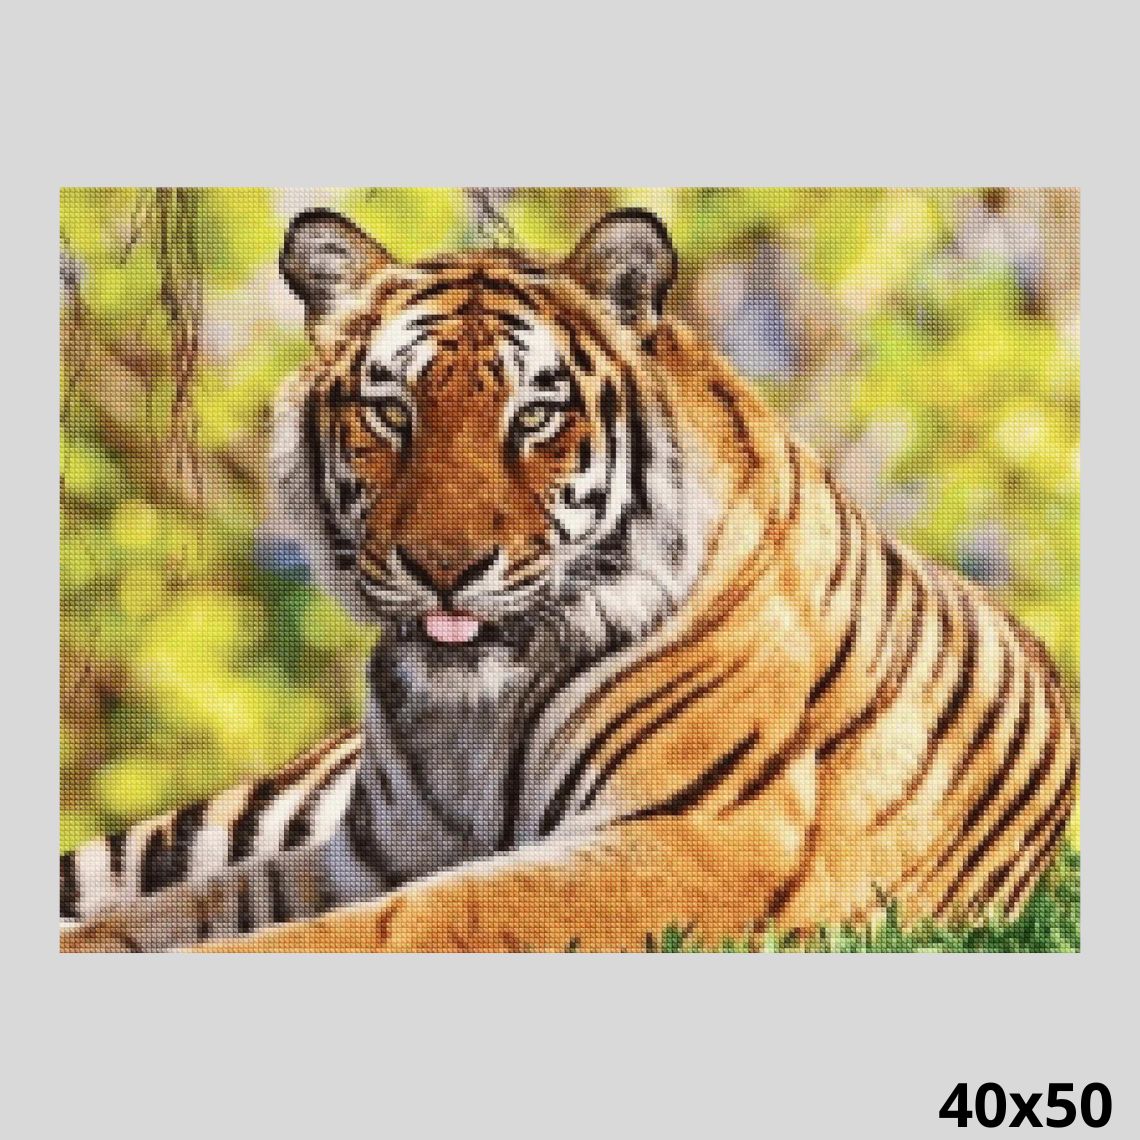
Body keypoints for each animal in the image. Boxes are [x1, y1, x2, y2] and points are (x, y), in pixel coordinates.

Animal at [60, 206, 1078, 952]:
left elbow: (394, 924)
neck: (468, 715)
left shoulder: (699, 841)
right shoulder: (361, 854)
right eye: (392, 412)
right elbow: (153, 917)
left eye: (535, 416)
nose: (443, 570)